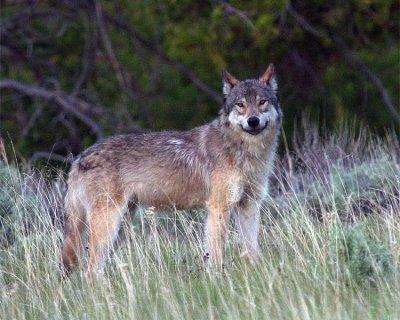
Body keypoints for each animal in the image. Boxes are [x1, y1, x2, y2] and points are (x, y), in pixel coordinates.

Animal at [61, 63, 282, 276]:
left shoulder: (249, 205)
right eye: (240, 105)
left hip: (120, 228)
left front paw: (258, 274)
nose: (253, 121)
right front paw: (217, 279)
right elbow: (217, 254)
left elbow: (253, 250)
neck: (242, 151)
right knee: (90, 272)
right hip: (108, 225)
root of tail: (80, 158)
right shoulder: (219, 208)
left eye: (262, 102)